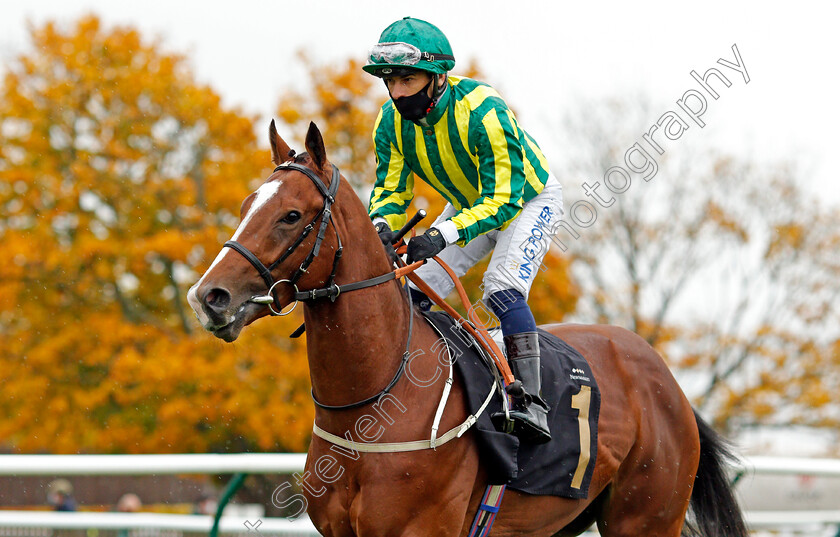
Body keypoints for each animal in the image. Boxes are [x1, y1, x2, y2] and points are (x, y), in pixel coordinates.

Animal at [187, 121, 744, 536]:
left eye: (290, 214)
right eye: (246, 206)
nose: (208, 297)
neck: (374, 407)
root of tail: (663, 377)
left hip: (646, 516)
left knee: (504, 291)